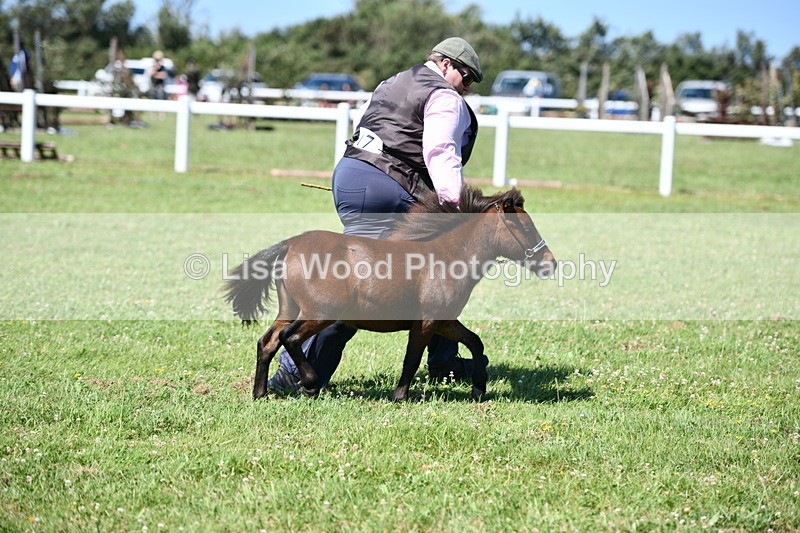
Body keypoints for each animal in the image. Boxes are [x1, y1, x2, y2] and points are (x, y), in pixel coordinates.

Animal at [223, 186, 555, 402]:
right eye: (527, 228)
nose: (550, 263)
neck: (447, 257)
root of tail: (291, 244)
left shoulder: (445, 321)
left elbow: (475, 342)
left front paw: (478, 388)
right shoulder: (426, 322)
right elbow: (412, 358)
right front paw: (400, 395)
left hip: (289, 310)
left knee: (267, 342)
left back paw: (260, 392)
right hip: (318, 313)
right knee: (289, 338)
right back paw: (310, 384)